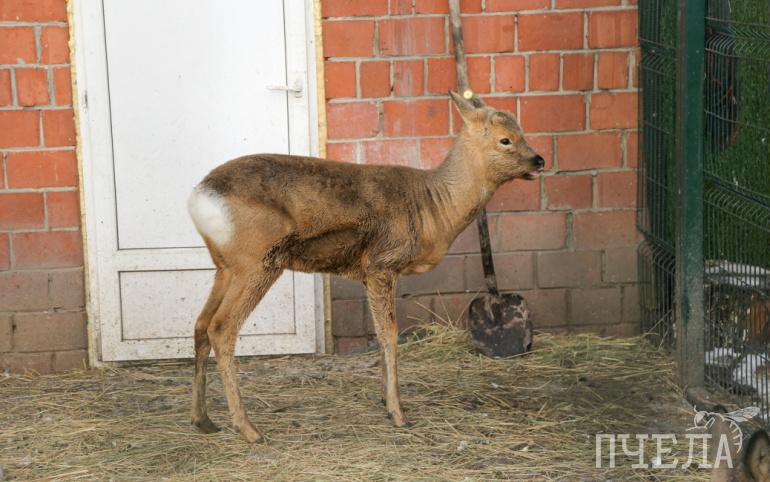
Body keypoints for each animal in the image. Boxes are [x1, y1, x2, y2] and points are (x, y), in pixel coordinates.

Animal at [187, 92, 545, 443]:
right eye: (505, 139)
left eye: (522, 130)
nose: (539, 160)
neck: (433, 206)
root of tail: (198, 199)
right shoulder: (382, 263)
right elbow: (390, 333)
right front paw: (398, 413)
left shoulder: (371, 272)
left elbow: (378, 329)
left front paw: (385, 400)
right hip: (257, 260)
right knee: (221, 327)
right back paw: (249, 430)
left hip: (226, 267)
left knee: (201, 324)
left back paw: (204, 420)